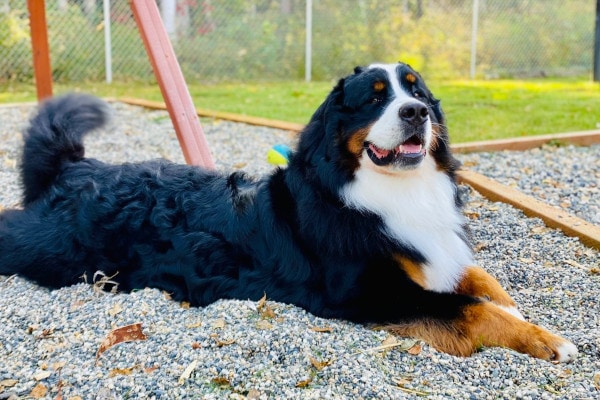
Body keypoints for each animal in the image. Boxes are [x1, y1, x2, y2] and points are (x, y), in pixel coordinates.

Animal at [0, 62, 576, 362]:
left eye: (418, 92)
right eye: (374, 98)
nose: (416, 113)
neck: (390, 191)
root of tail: (75, 166)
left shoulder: (432, 253)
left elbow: (481, 279)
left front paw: (520, 312)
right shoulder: (366, 291)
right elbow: (471, 308)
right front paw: (548, 339)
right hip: (49, 250)